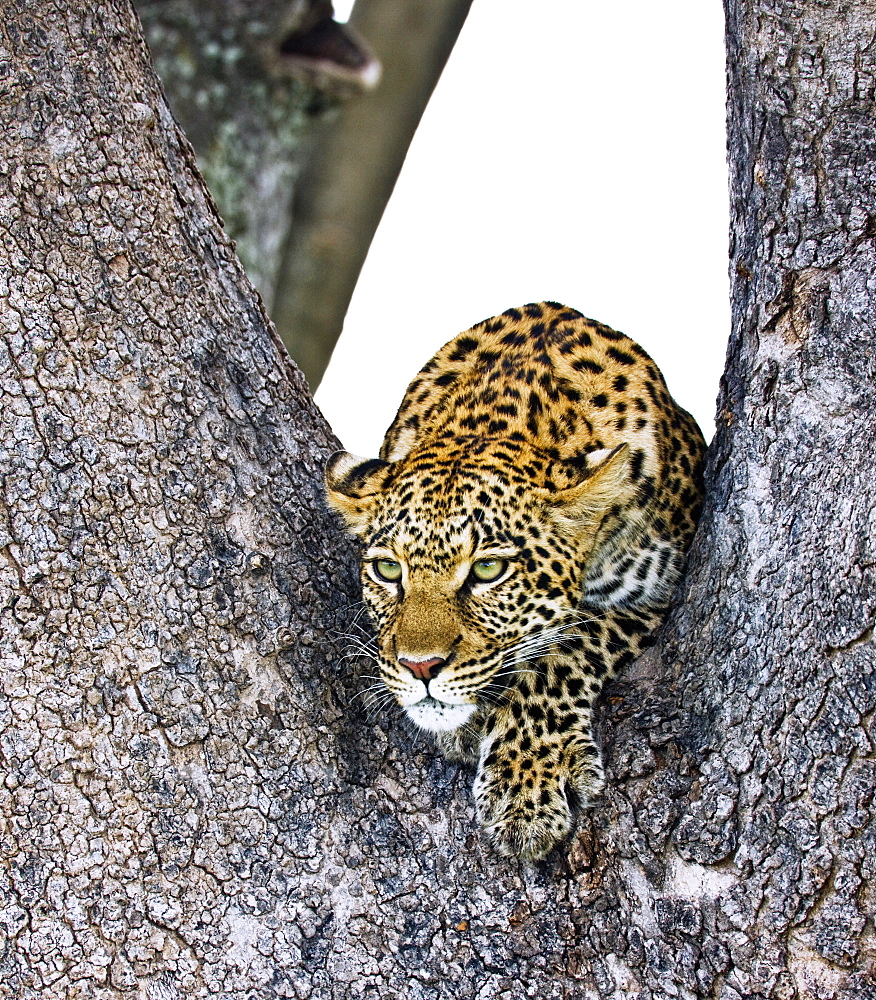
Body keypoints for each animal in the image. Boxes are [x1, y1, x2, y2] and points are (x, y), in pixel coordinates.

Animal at [324, 302, 704, 860]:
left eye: (488, 570)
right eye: (389, 570)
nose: (420, 667)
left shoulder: (656, 593)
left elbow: (566, 649)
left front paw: (524, 784)